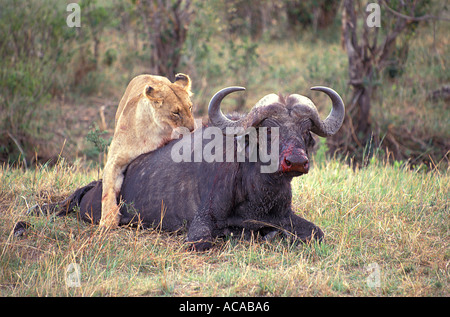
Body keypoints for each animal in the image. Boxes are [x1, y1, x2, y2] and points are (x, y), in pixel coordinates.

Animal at [100, 73, 195, 227]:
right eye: (175, 113)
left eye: (190, 108)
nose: (193, 129)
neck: (155, 132)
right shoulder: (115, 159)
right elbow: (107, 189)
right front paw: (107, 220)